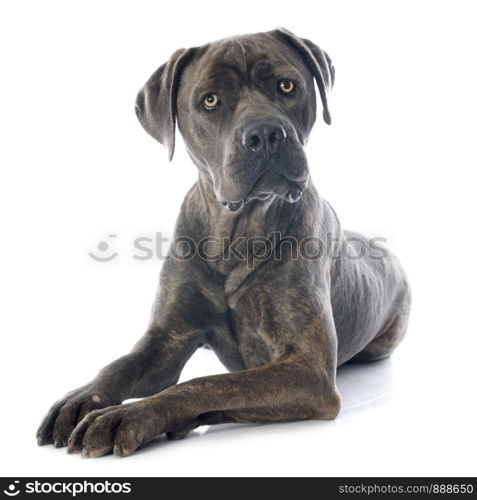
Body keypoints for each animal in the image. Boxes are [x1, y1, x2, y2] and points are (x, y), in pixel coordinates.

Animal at [36, 27, 410, 458]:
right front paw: (81, 399)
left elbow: (205, 384)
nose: (265, 134)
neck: (238, 232)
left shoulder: (309, 369)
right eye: (210, 100)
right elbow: (120, 365)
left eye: (286, 86)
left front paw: (127, 415)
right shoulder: (166, 338)